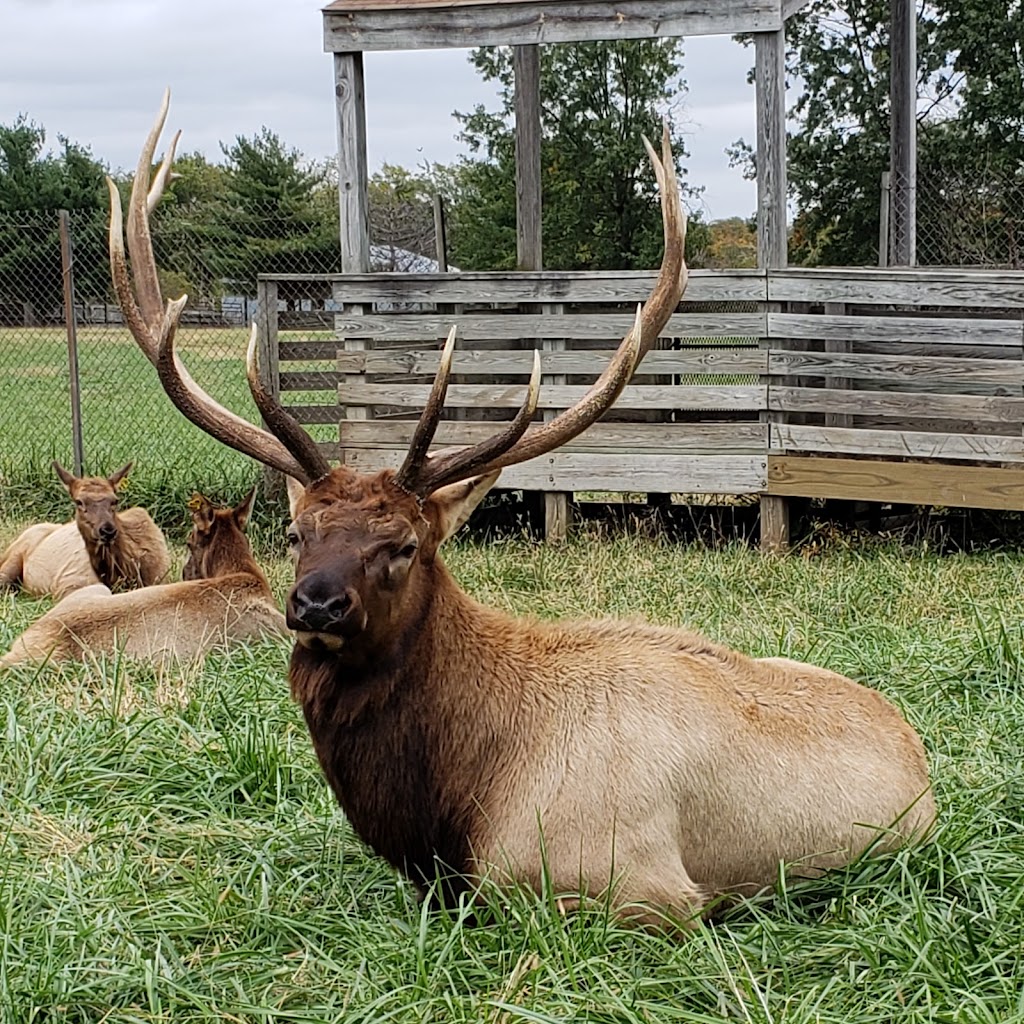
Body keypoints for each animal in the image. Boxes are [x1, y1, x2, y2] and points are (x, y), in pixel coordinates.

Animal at [110, 92, 937, 933]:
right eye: (295, 533)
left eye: (404, 544)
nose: (316, 603)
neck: (451, 810)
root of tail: (922, 755)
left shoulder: (633, 888)